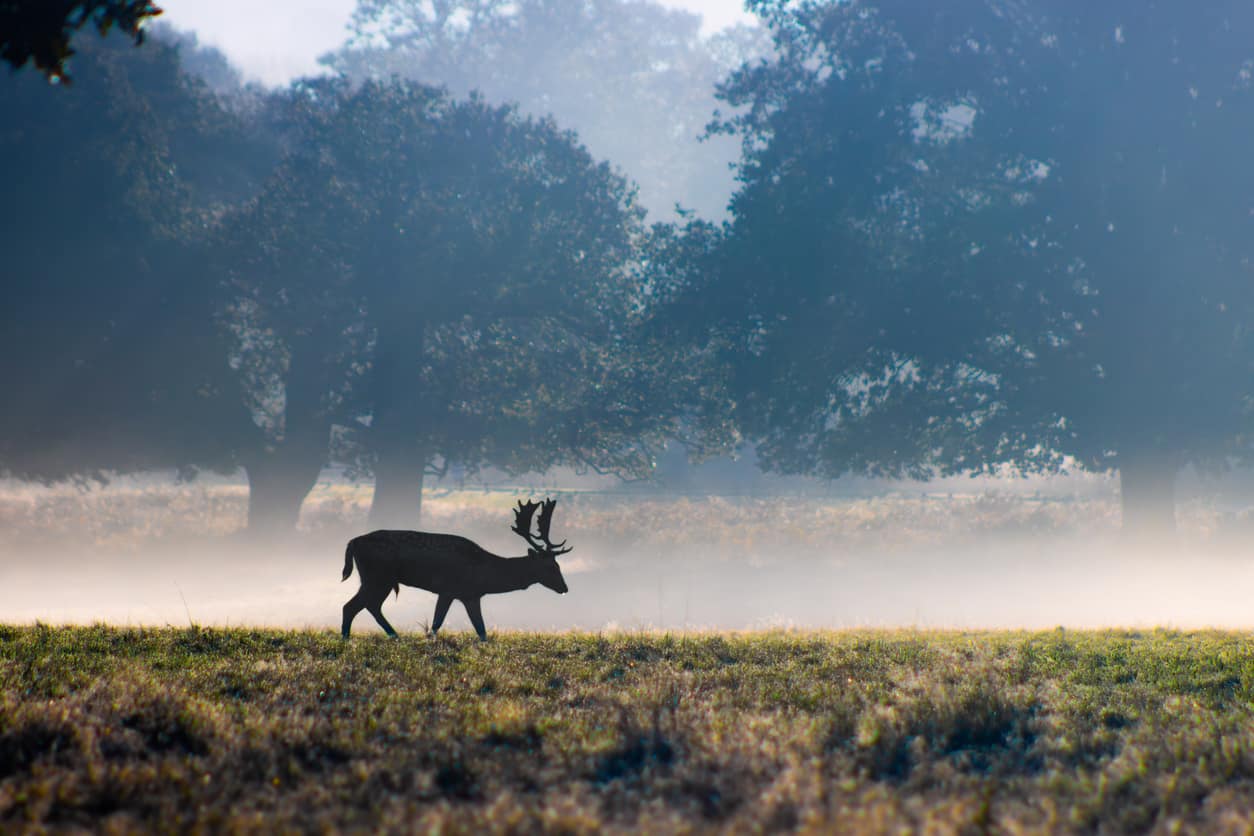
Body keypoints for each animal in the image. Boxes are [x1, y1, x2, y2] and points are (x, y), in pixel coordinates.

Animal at [341, 498, 572, 641]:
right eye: (550, 566)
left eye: (558, 564)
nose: (565, 588)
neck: (484, 574)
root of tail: (352, 542)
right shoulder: (450, 589)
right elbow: (439, 622)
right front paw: (430, 639)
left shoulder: (469, 595)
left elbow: (480, 629)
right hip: (377, 577)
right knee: (351, 606)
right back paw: (348, 638)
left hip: (380, 580)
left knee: (370, 606)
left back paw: (392, 635)